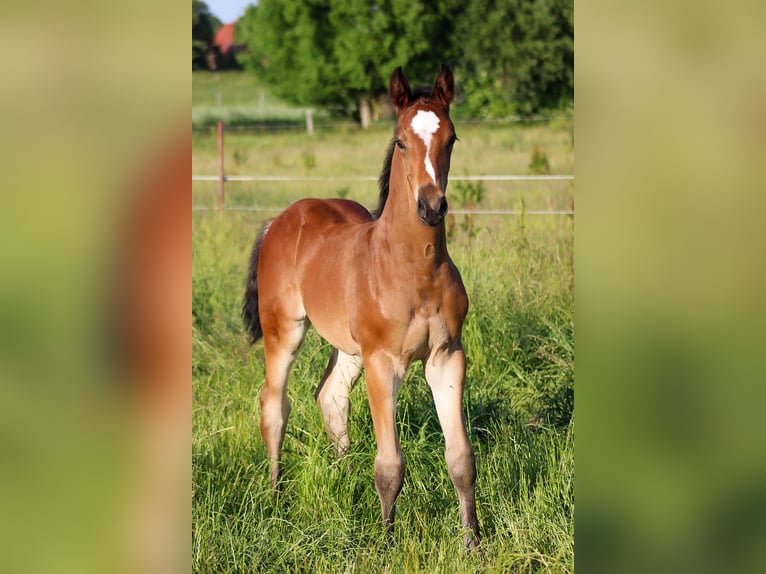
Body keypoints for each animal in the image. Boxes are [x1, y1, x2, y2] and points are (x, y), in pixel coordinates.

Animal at [243, 64, 480, 548]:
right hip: (285, 331)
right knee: (273, 405)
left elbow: (461, 459)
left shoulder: (447, 356)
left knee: (330, 396)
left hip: (349, 347)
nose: (431, 206)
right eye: (401, 141)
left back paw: (346, 481)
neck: (415, 269)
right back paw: (275, 499)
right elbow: (390, 464)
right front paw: (386, 544)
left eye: (451, 139)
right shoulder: (383, 361)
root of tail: (280, 220)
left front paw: (474, 544)